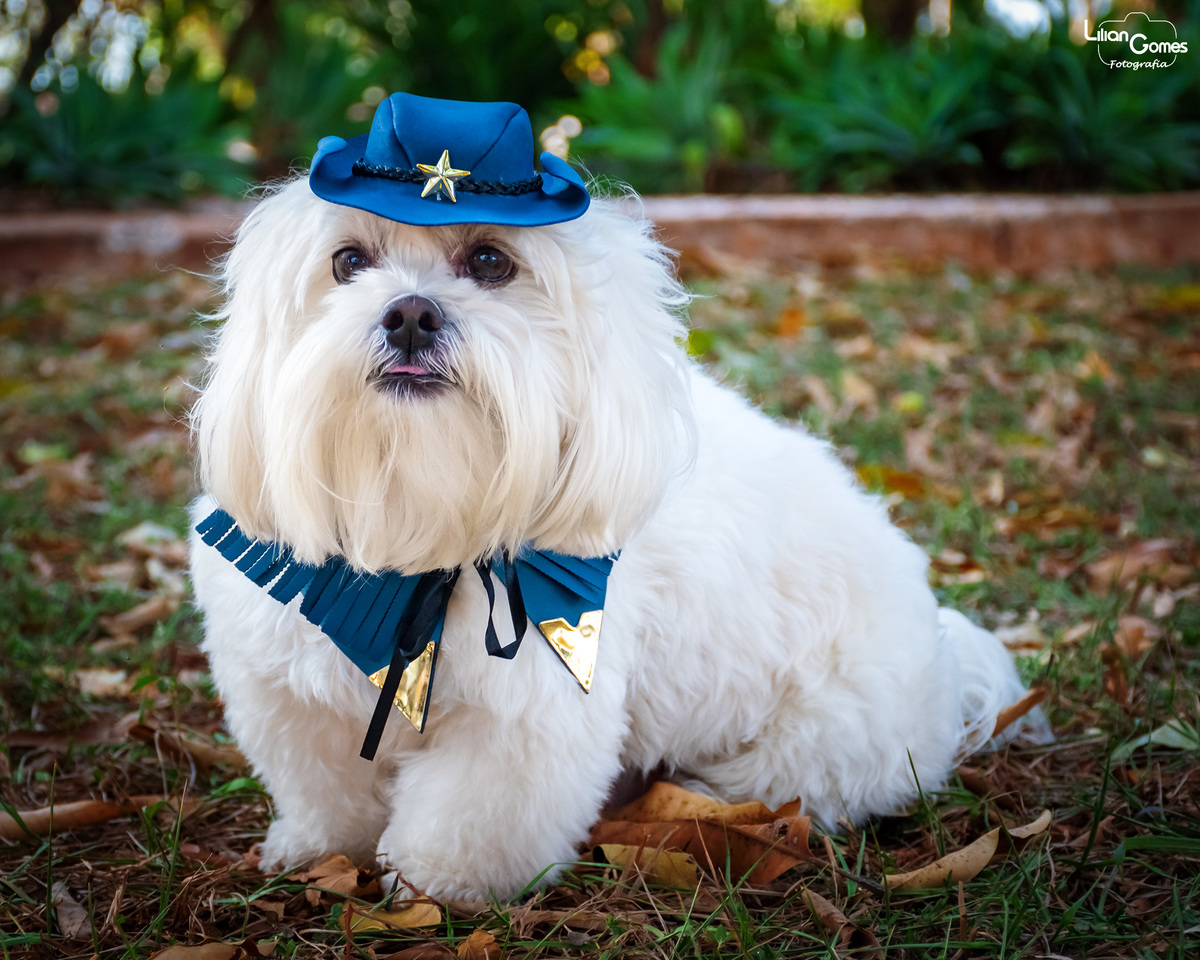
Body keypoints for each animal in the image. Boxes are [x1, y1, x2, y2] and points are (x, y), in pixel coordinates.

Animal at [189, 93, 1038, 901]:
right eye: (348, 261)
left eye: (490, 260)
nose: (409, 313)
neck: (422, 511)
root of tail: (945, 659)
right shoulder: (295, 692)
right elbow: (327, 790)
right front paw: (318, 852)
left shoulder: (531, 709)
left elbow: (471, 815)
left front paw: (437, 885)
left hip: (812, 746)